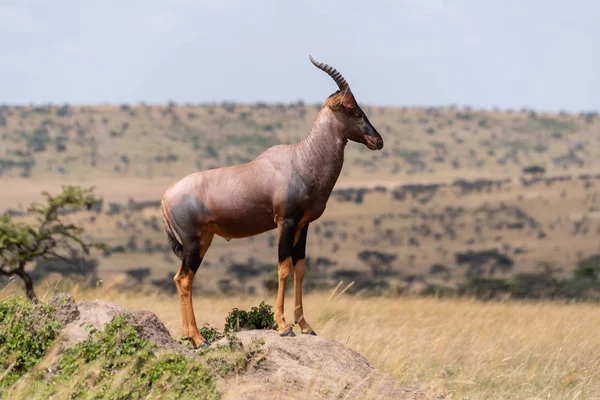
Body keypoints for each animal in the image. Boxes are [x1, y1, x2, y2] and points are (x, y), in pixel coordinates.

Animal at [162, 54, 382, 348]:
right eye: (350, 108)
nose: (377, 140)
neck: (300, 158)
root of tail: (167, 195)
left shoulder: (303, 224)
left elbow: (300, 268)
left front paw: (306, 326)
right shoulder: (285, 222)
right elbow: (283, 268)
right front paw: (283, 326)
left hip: (203, 240)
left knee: (180, 278)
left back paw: (192, 337)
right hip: (194, 242)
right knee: (185, 280)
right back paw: (199, 339)